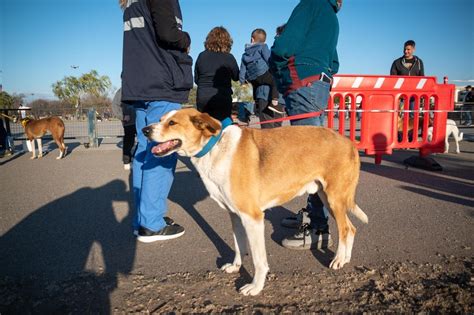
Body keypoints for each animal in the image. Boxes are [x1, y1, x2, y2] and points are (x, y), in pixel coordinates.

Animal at [143, 108, 368, 296]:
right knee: (351, 228)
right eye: (161, 119)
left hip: (334, 198)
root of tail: (347, 141)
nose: (145, 130)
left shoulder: (253, 218)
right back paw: (345, 258)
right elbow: (238, 245)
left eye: (172, 123)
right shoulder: (235, 215)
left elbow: (259, 260)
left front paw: (256, 286)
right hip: (326, 197)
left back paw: (338, 259)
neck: (213, 148)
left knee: (345, 229)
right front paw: (236, 266)